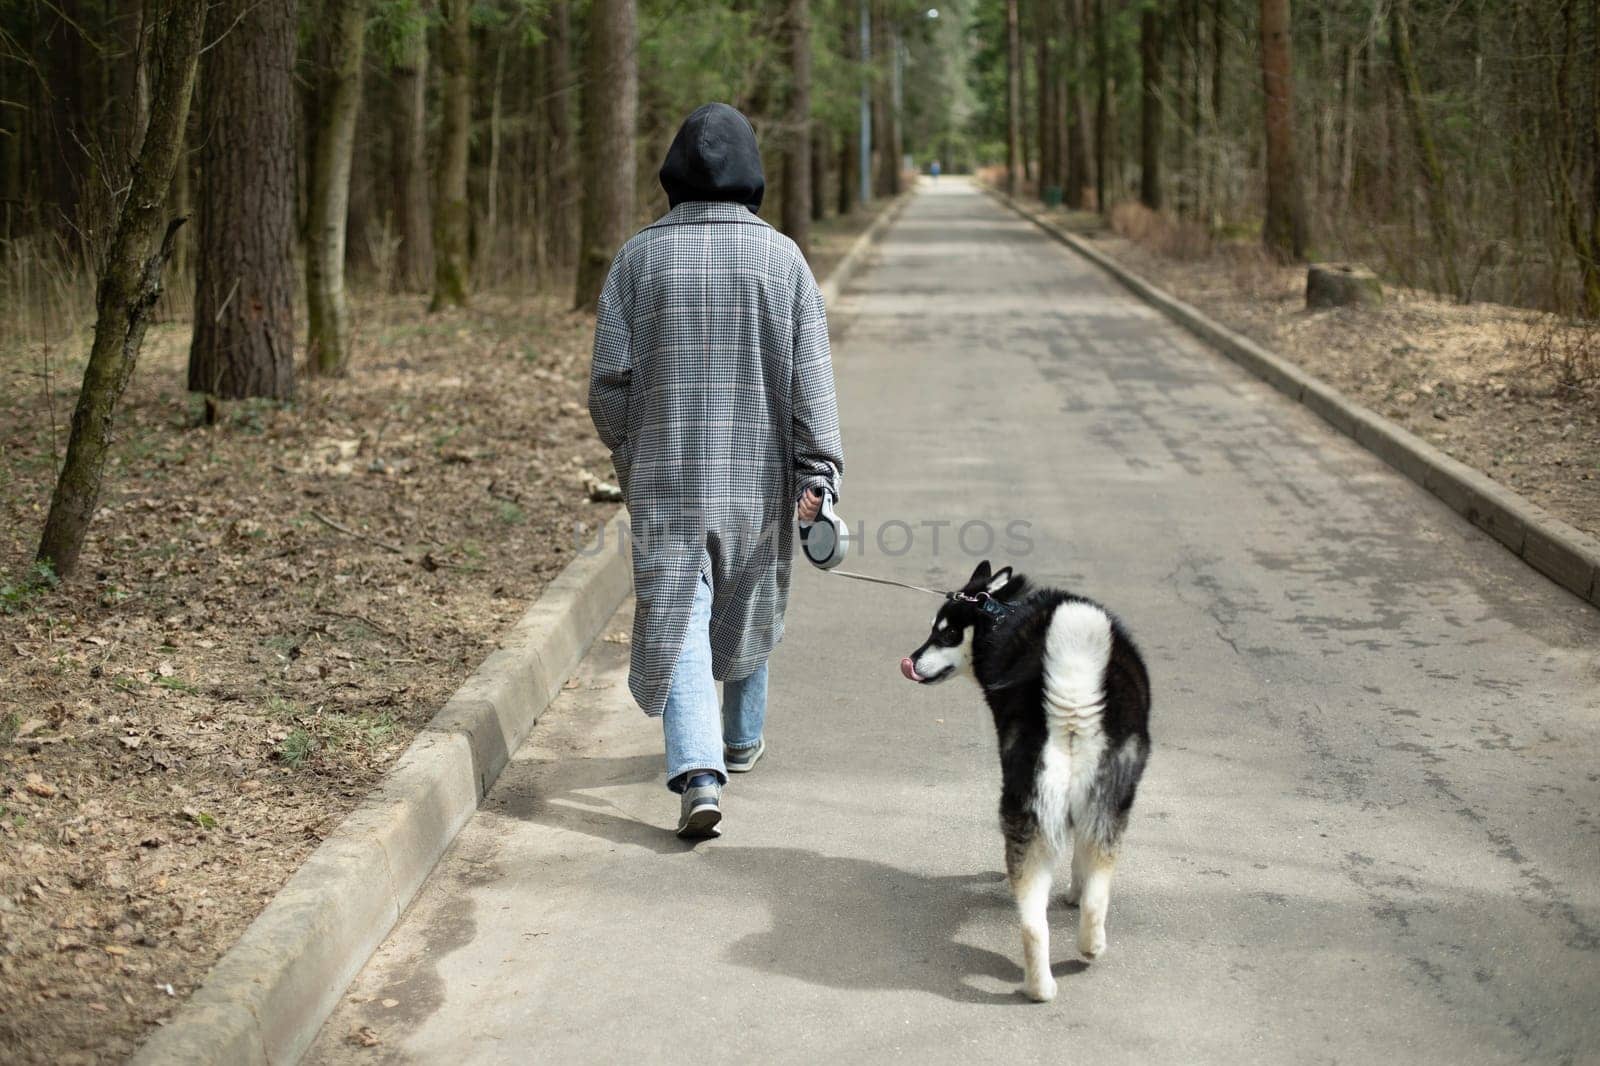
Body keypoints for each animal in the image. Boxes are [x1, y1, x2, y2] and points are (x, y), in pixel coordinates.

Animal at [902, 560, 1152, 998]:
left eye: (946, 633)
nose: (910, 662)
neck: (1005, 614)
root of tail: (1072, 701)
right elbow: (1080, 860)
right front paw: (1073, 891)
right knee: (1052, 916)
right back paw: (1059, 974)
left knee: (1055, 913)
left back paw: (1063, 968)